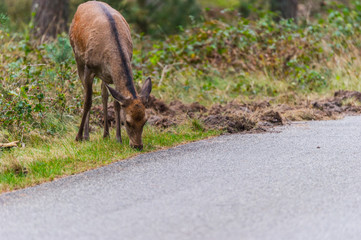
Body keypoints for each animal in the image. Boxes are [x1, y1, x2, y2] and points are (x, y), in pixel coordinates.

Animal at [68, 0, 151, 150]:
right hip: (78, 58)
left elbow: (116, 103)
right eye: (127, 122)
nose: (137, 145)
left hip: (104, 74)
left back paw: (106, 134)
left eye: (145, 120)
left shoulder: (113, 75)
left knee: (104, 94)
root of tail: (84, 4)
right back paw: (86, 135)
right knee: (86, 92)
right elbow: (88, 101)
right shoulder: (89, 68)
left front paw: (118, 138)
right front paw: (78, 137)